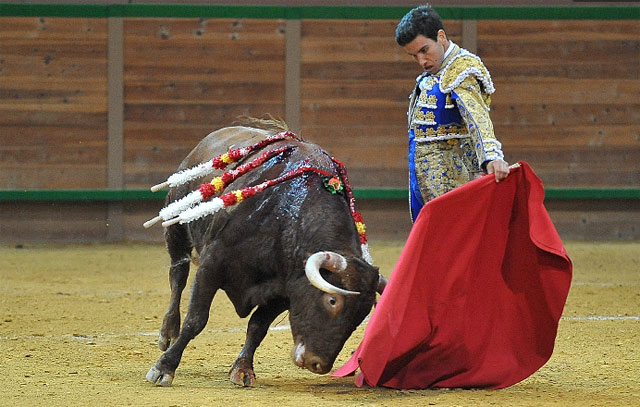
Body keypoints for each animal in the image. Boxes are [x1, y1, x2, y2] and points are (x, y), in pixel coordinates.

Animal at [144, 122, 384, 388]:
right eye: (332, 301)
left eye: (362, 315)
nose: (318, 364)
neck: (286, 217)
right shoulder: (211, 265)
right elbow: (196, 319)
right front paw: (164, 368)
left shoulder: (283, 291)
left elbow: (257, 326)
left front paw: (243, 369)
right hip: (176, 228)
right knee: (178, 276)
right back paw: (167, 333)